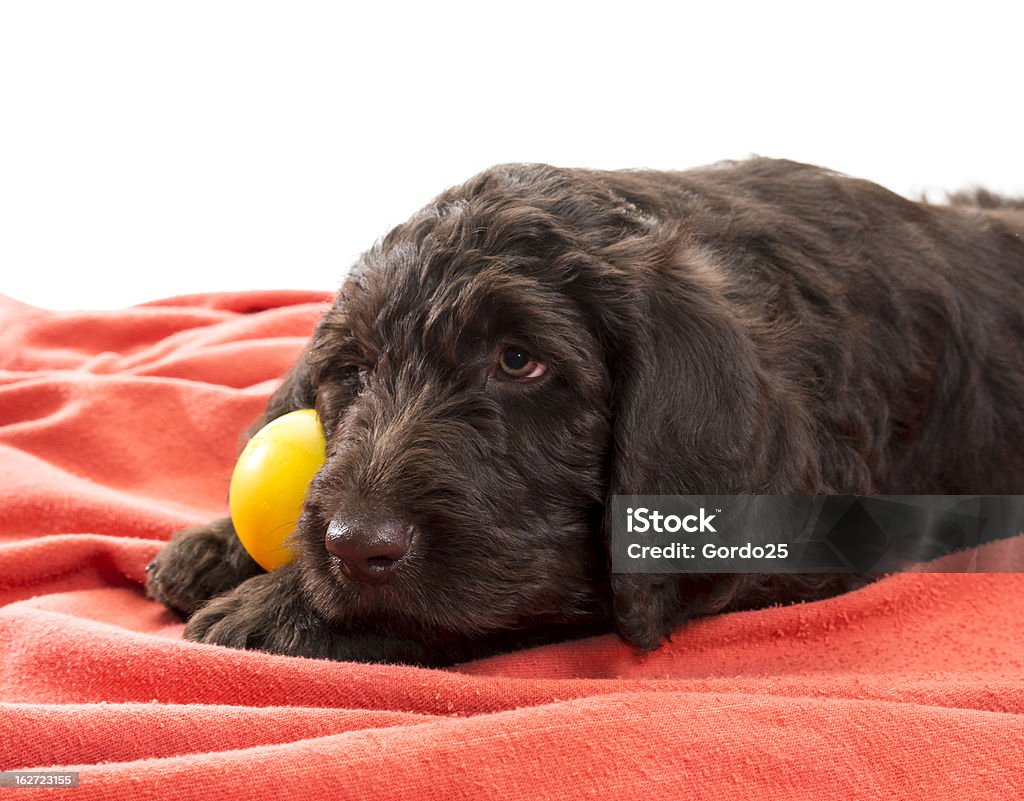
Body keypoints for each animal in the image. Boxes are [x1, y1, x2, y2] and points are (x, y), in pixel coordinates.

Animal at [144, 156, 1024, 663]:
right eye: (353, 369)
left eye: (518, 361)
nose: (356, 544)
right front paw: (219, 544)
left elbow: (514, 594)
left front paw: (276, 611)